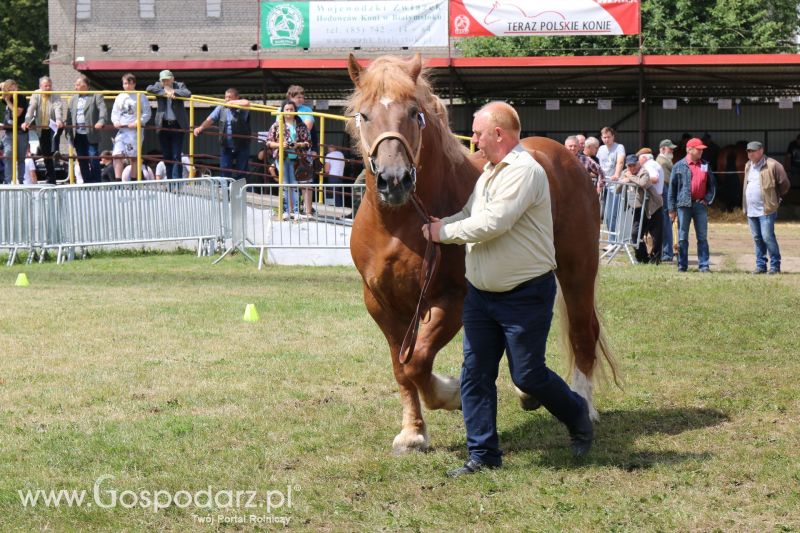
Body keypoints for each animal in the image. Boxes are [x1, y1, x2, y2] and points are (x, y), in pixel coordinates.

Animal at [346, 54, 620, 450]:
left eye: (414, 112)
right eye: (364, 115)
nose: (394, 180)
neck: (399, 224)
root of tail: (567, 158)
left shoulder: (453, 299)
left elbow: (418, 362)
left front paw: (452, 394)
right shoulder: (381, 303)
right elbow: (402, 367)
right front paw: (413, 432)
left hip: (577, 270)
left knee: (583, 331)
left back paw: (583, 404)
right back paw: (528, 393)